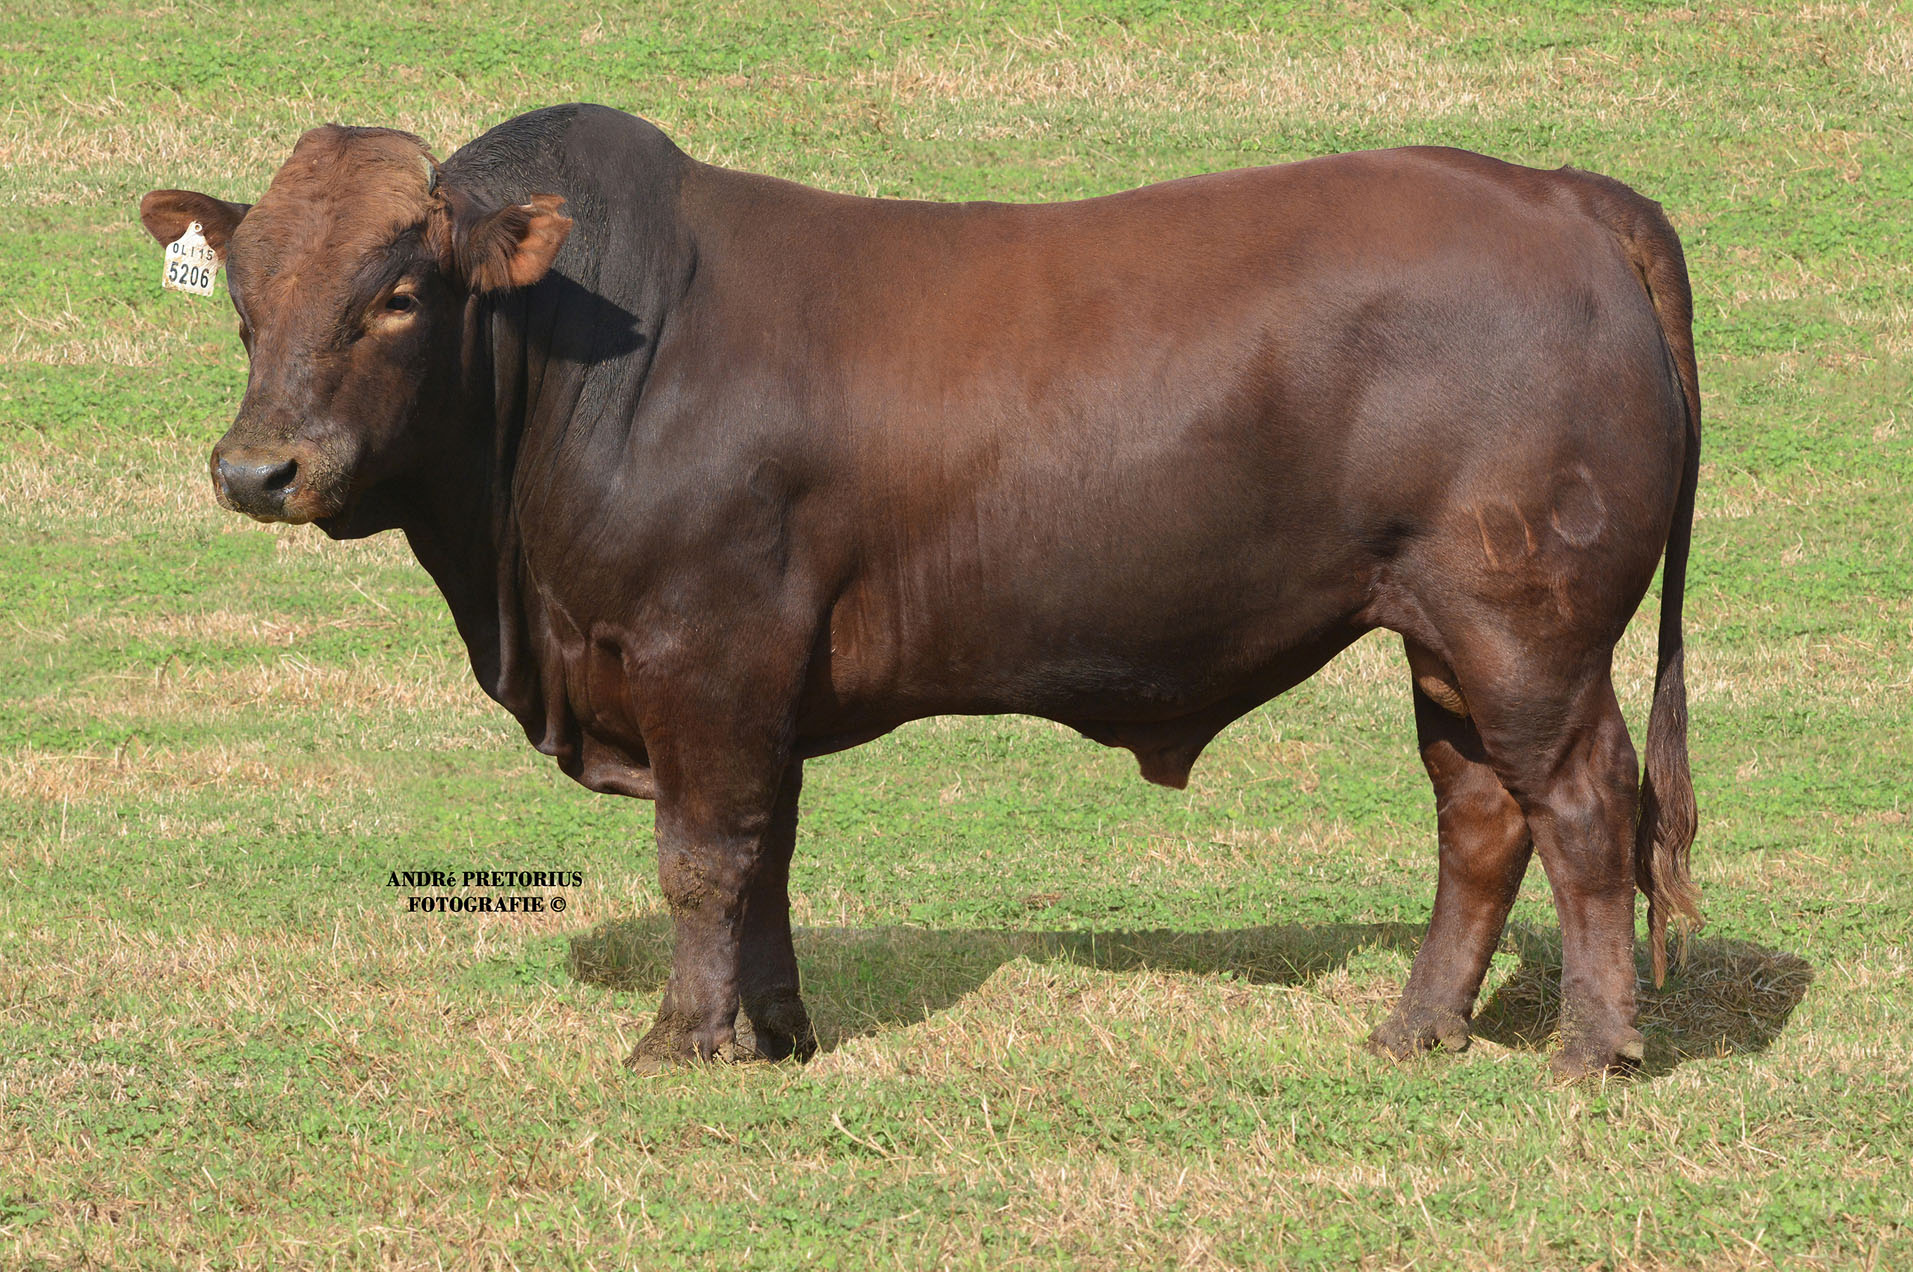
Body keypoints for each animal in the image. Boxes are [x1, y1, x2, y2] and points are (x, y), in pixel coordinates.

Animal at [140, 103, 1702, 1080]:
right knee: (1478, 818)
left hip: (1527, 626)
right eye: (245, 299)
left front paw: (680, 1041)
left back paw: (1588, 1048)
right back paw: (1413, 1031)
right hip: (1439, 635)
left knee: (1579, 809)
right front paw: (773, 1032)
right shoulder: (754, 682)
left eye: (399, 294)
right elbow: (764, 851)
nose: (258, 469)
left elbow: (703, 855)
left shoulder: (703, 646)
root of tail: (1561, 194)